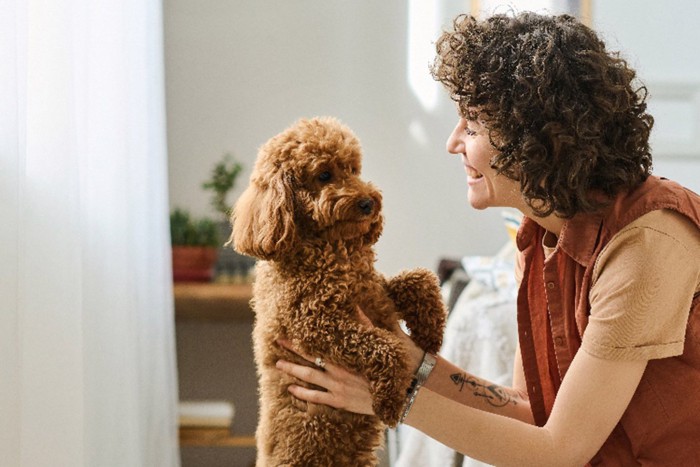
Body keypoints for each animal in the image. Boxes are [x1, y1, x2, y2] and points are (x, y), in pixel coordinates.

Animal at [230, 116, 448, 464]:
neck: (331, 248)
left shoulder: (374, 292)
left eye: (354, 169)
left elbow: (420, 278)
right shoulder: (312, 324)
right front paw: (389, 402)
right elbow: (386, 347)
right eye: (324, 175)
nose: (369, 203)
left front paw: (431, 335)